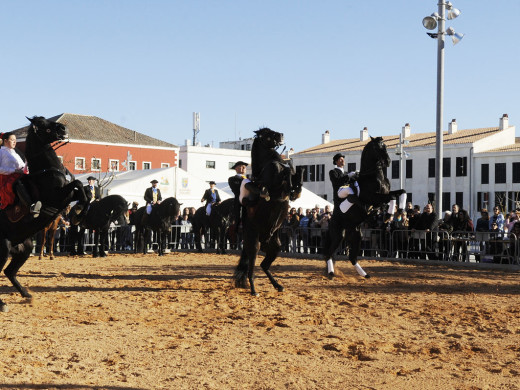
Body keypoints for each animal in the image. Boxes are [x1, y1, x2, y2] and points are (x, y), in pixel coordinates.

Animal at [0, 115, 88, 310]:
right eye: (41, 124)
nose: (63, 128)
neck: (47, 171)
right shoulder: (57, 197)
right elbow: (78, 184)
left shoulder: (67, 195)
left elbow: (82, 191)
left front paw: (79, 214)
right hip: (3, 248)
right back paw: (2, 303)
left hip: (24, 248)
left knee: (10, 272)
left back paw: (26, 294)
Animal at [233, 128, 302, 296]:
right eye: (266, 133)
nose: (281, 135)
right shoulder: (273, 181)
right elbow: (281, 171)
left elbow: (292, 171)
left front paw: (296, 189)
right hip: (254, 244)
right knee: (251, 270)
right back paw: (253, 290)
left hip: (275, 246)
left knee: (264, 266)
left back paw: (278, 285)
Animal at [324, 136, 406, 278]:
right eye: (377, 147)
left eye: (385, 146)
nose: (388, 162)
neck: (373, 175)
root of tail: (331, 219)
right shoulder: (374, 198)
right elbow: (392, 197)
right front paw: (388, 215)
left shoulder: (385, 194)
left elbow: (401, 192)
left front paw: (397, 211)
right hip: (339, 235)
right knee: (329, 254)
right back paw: (331, 273)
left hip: (356, 236)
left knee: (352, 258)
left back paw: (364, 274)